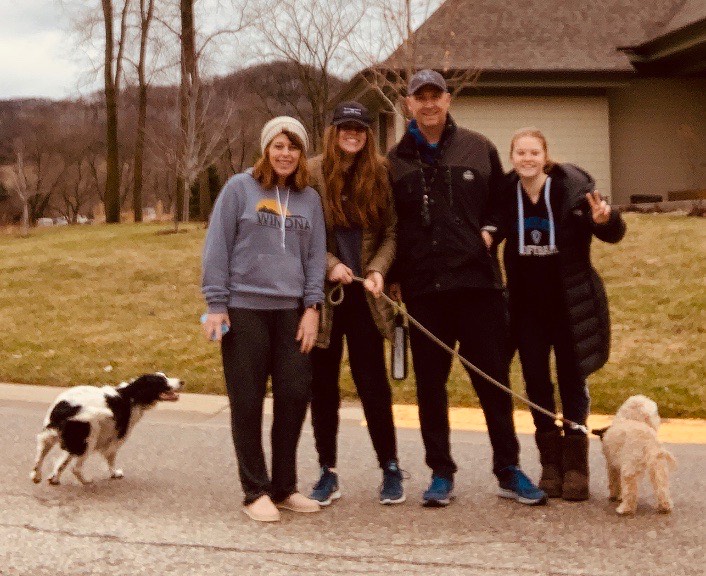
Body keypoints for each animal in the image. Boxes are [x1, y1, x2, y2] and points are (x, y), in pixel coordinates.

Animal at [31, 374, 183, 486]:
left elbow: (62, 462)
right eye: (162, 380)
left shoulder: (73, 443)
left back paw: (36, 476)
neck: (132, 395)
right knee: (76, 467)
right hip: (90, 436)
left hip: (56, 437)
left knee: (40, 455)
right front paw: (114, 474)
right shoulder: (116, 439)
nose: (182, 381)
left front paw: (54, 478)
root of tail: (67, 408)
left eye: (165, 376)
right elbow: (110, 459)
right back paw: (87, 481)